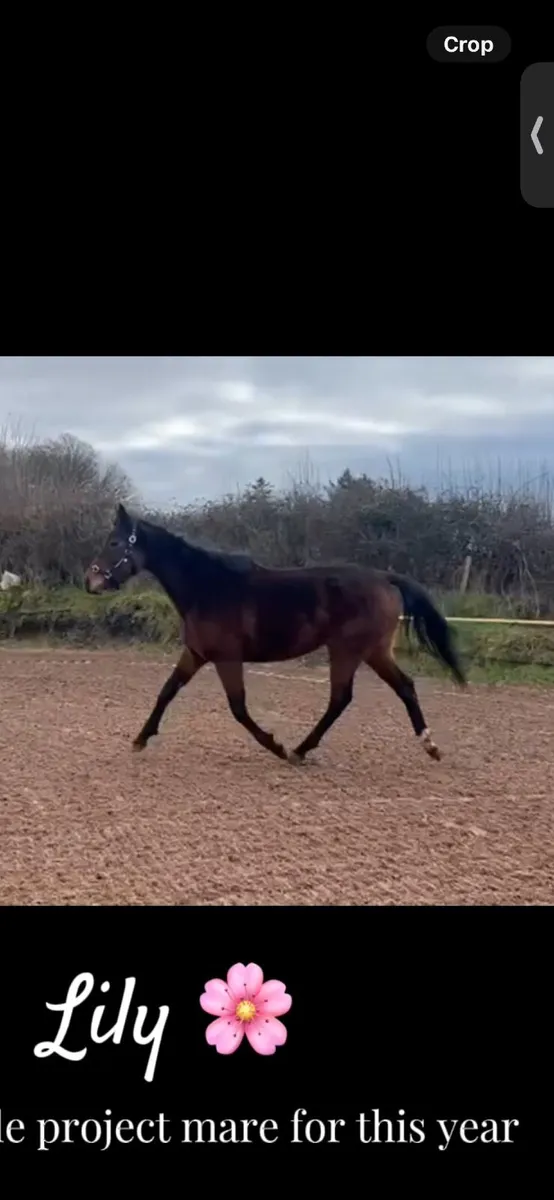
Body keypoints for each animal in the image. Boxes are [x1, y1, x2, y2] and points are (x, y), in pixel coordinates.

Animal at [84, 503, 466, 764]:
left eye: (115, 542)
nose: (91, 580)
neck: (207, 586)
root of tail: (384, 577)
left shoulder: (226, 658)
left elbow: (238, 708)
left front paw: (275, 745)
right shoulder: (195, 654)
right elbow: (166, 692)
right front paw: (140, 739)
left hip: (348, 651)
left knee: (342, 698)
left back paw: (298, 751)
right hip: (372, 652)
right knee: (401, 688)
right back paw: (428, 746)